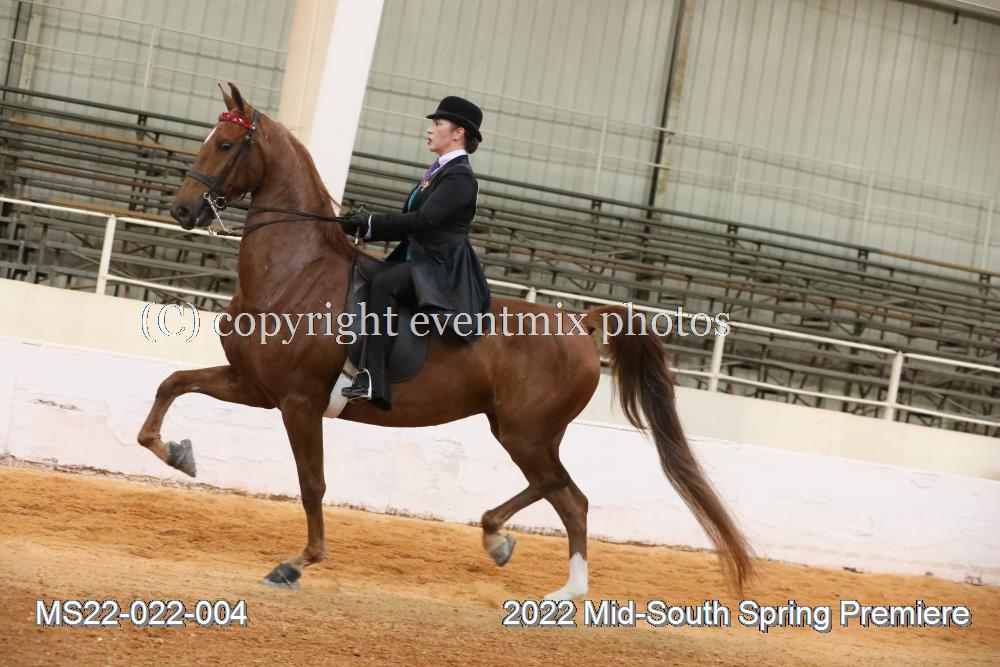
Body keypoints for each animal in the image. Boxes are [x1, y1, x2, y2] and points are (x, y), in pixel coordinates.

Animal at [137, 83, 753, 599]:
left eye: (225, 144)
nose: (182, 210)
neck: (294, 274)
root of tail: (581, 326)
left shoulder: (299, 402)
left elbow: (312, 483)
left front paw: (296, 563)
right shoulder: (254, 386)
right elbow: (171, 385)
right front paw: (178, 454)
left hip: (527, 433)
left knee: (567, 495)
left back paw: (555, 583)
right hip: (517, 429)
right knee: (560, 492)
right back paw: (515, 553)